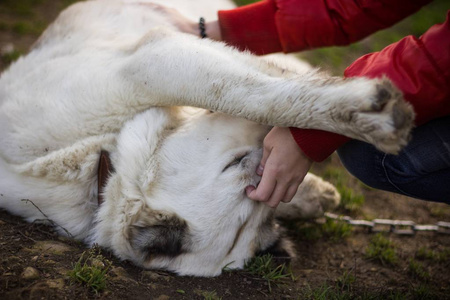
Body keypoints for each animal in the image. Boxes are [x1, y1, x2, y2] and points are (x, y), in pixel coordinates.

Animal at [0, 0, 414, 276]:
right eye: (238, 164)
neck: (101, 157)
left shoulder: (152, 61)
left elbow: (252, 95)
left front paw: (364, 112)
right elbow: (258, 95)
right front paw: (316, 191)